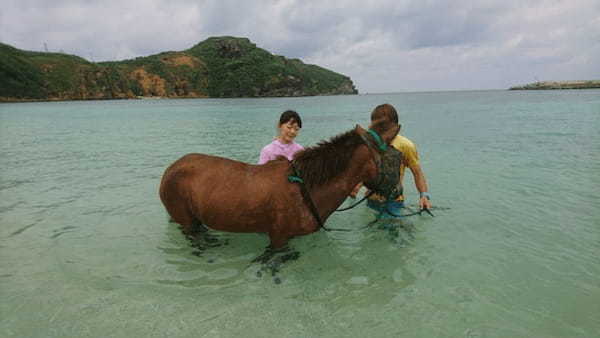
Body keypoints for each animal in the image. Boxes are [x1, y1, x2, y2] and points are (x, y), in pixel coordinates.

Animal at [159, 121, 398, 258]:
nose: (395, 192)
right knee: (194, 236)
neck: (306, 191)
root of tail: (172, 168)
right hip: (186, 220)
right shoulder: (279, 238)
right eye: (391, 158)